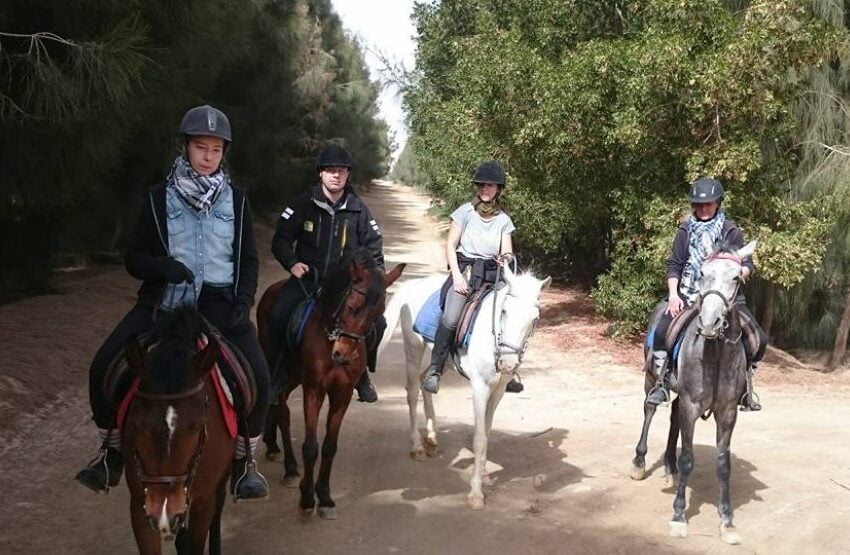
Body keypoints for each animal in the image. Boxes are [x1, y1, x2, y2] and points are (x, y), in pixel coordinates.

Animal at [257, 248, 405, 519]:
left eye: (377, 314)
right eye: (352, 306)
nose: (343, 355)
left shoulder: (342, 393)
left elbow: (329, 447)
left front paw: (324, 497)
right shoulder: (314, 388)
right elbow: (311, 447)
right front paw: (306, 498)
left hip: (293, 375)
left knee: (279, 406)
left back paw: (274, 447)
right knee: (281, 409)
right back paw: (290, 467)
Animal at [378, 265, 551, 509]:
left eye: (534, 319)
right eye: (504, 311)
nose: (508, 363)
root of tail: (414, 284)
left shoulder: (498, 391)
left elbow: (487, 431)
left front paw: (484, 473)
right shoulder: (480, 387)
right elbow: (479, 438)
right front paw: (476, 493)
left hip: (441, 361)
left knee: (426, 380)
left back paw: (432, 436)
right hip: (413, 349)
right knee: (411, 392)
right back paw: (417, 447)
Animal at [630, 240, 757, 545]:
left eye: (736, 278)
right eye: (702, 273)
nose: (709, 323)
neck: (716, 353)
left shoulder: (727, 412)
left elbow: (723, 464)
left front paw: (727, 521)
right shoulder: (691, 404)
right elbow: (688, 458)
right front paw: (678, 516)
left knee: (673, 415)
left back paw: (669, 466)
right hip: (652, 379)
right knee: (649, 410)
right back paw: (640, 462)